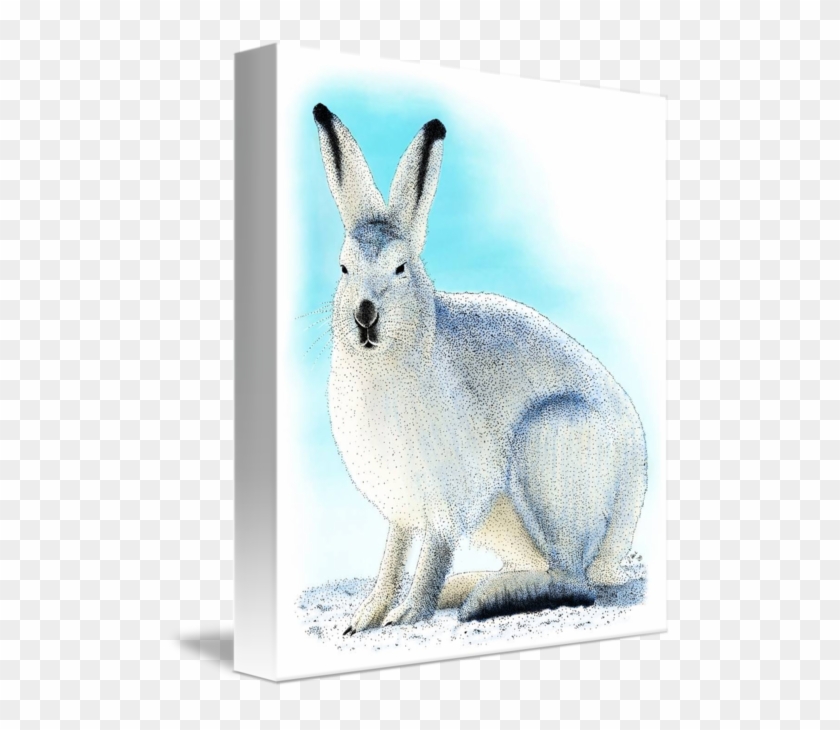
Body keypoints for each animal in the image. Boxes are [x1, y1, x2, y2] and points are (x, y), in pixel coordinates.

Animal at [312, 103, 648, 634]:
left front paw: (409, 613)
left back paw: (487, 597)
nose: (365, 314)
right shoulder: (403, 505)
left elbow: (433, 553)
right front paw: (363, 618)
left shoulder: (450, 495)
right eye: (344, 268)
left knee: (574, 580)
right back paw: (474, 587)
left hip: (548, 450)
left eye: (401, 268)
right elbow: (392, 557)